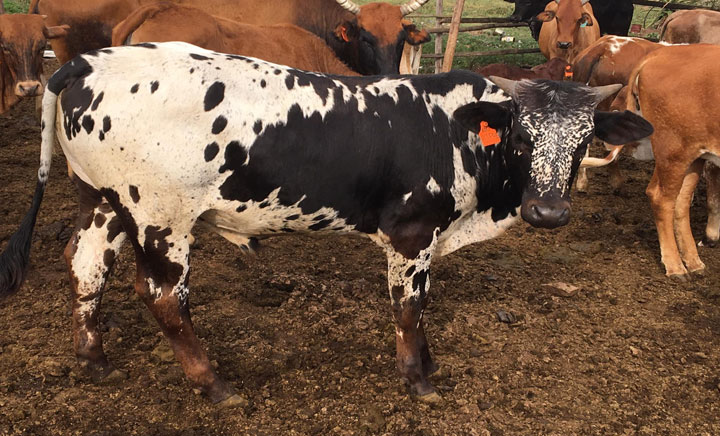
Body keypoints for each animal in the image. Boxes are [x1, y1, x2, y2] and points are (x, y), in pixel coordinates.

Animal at [0, 42, 652, 405]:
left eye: (585, 140)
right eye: (521, 135)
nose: (549, 212)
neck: (454, 132)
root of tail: (90, 59)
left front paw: (428, 363)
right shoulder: (411, 233)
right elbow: (409, 307)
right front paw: (418, 379)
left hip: (104, 202)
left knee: (87, 267)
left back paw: (93, 358)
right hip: (161, 215)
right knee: (162, 296)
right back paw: (213, 385)